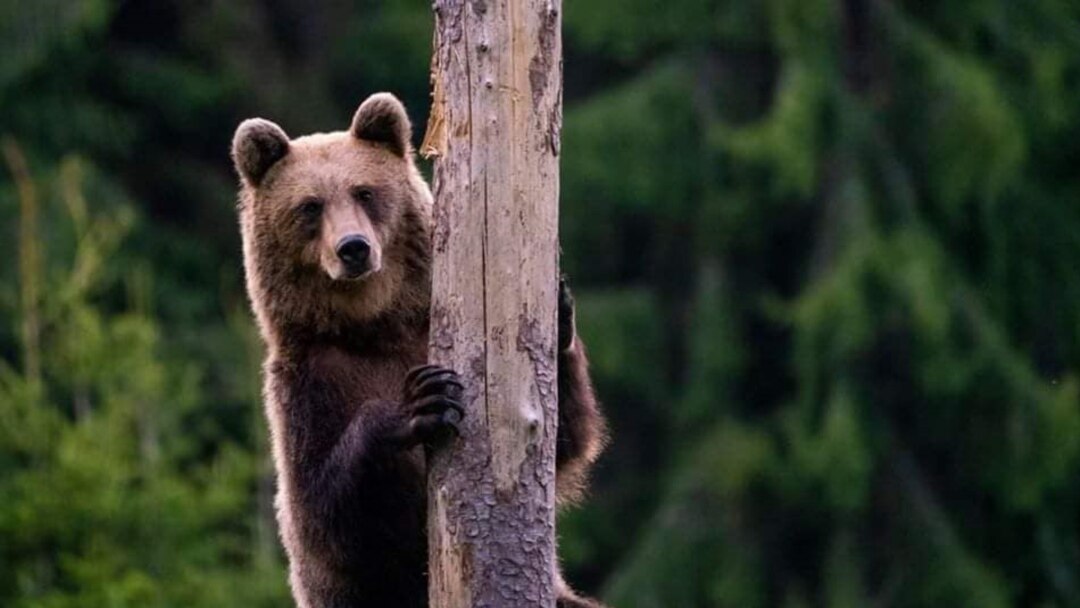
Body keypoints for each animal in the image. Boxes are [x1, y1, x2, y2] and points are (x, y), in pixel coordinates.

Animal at [232, 91, 609, 608]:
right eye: (310, 206)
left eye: (364, 192)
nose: (353, 248)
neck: (373, 326)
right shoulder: (308, 385)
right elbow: (323, 514)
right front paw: (422, 401)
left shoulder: (423, 332)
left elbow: (562, 439)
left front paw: (559, 310)